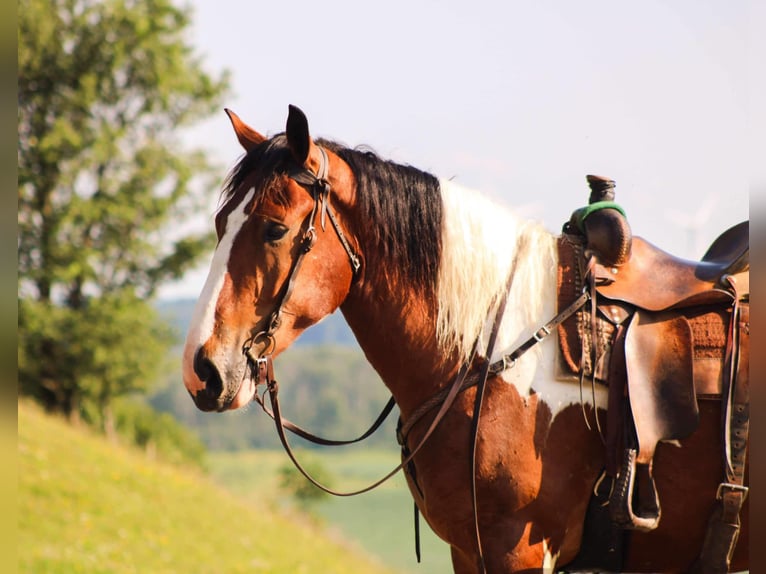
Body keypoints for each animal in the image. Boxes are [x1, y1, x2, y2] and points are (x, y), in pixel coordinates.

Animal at [182, 106, 752, 572]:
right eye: (219, 223)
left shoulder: (518, 547)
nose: (202, 370)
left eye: (275, 229)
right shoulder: (468, 550)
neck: (490, 355)